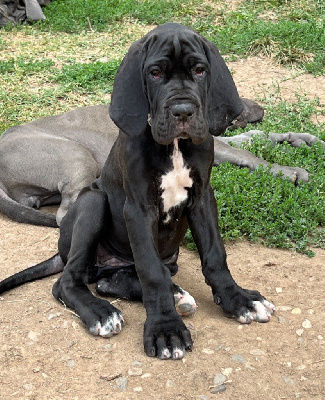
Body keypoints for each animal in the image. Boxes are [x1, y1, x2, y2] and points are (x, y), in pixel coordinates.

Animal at [0, 23, 274, 358]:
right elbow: (150, 271)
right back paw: (103, 313)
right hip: (92, 202)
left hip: (163, 257)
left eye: (200, 70)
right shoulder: (139, 209)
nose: (183, 110)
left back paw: (175, 295)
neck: (174, 146)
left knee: (113, 281)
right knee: (68, 281)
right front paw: (165, 329)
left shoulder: (202, 198)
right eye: (155, 73)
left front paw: (238, 299)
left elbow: (215, 255)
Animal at [0, 103, 318, 228]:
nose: (260, 110)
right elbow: (250, 154)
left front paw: (299, 138)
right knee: (65, 214)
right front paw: (291, 172)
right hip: (76, 155)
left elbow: (254, 137)